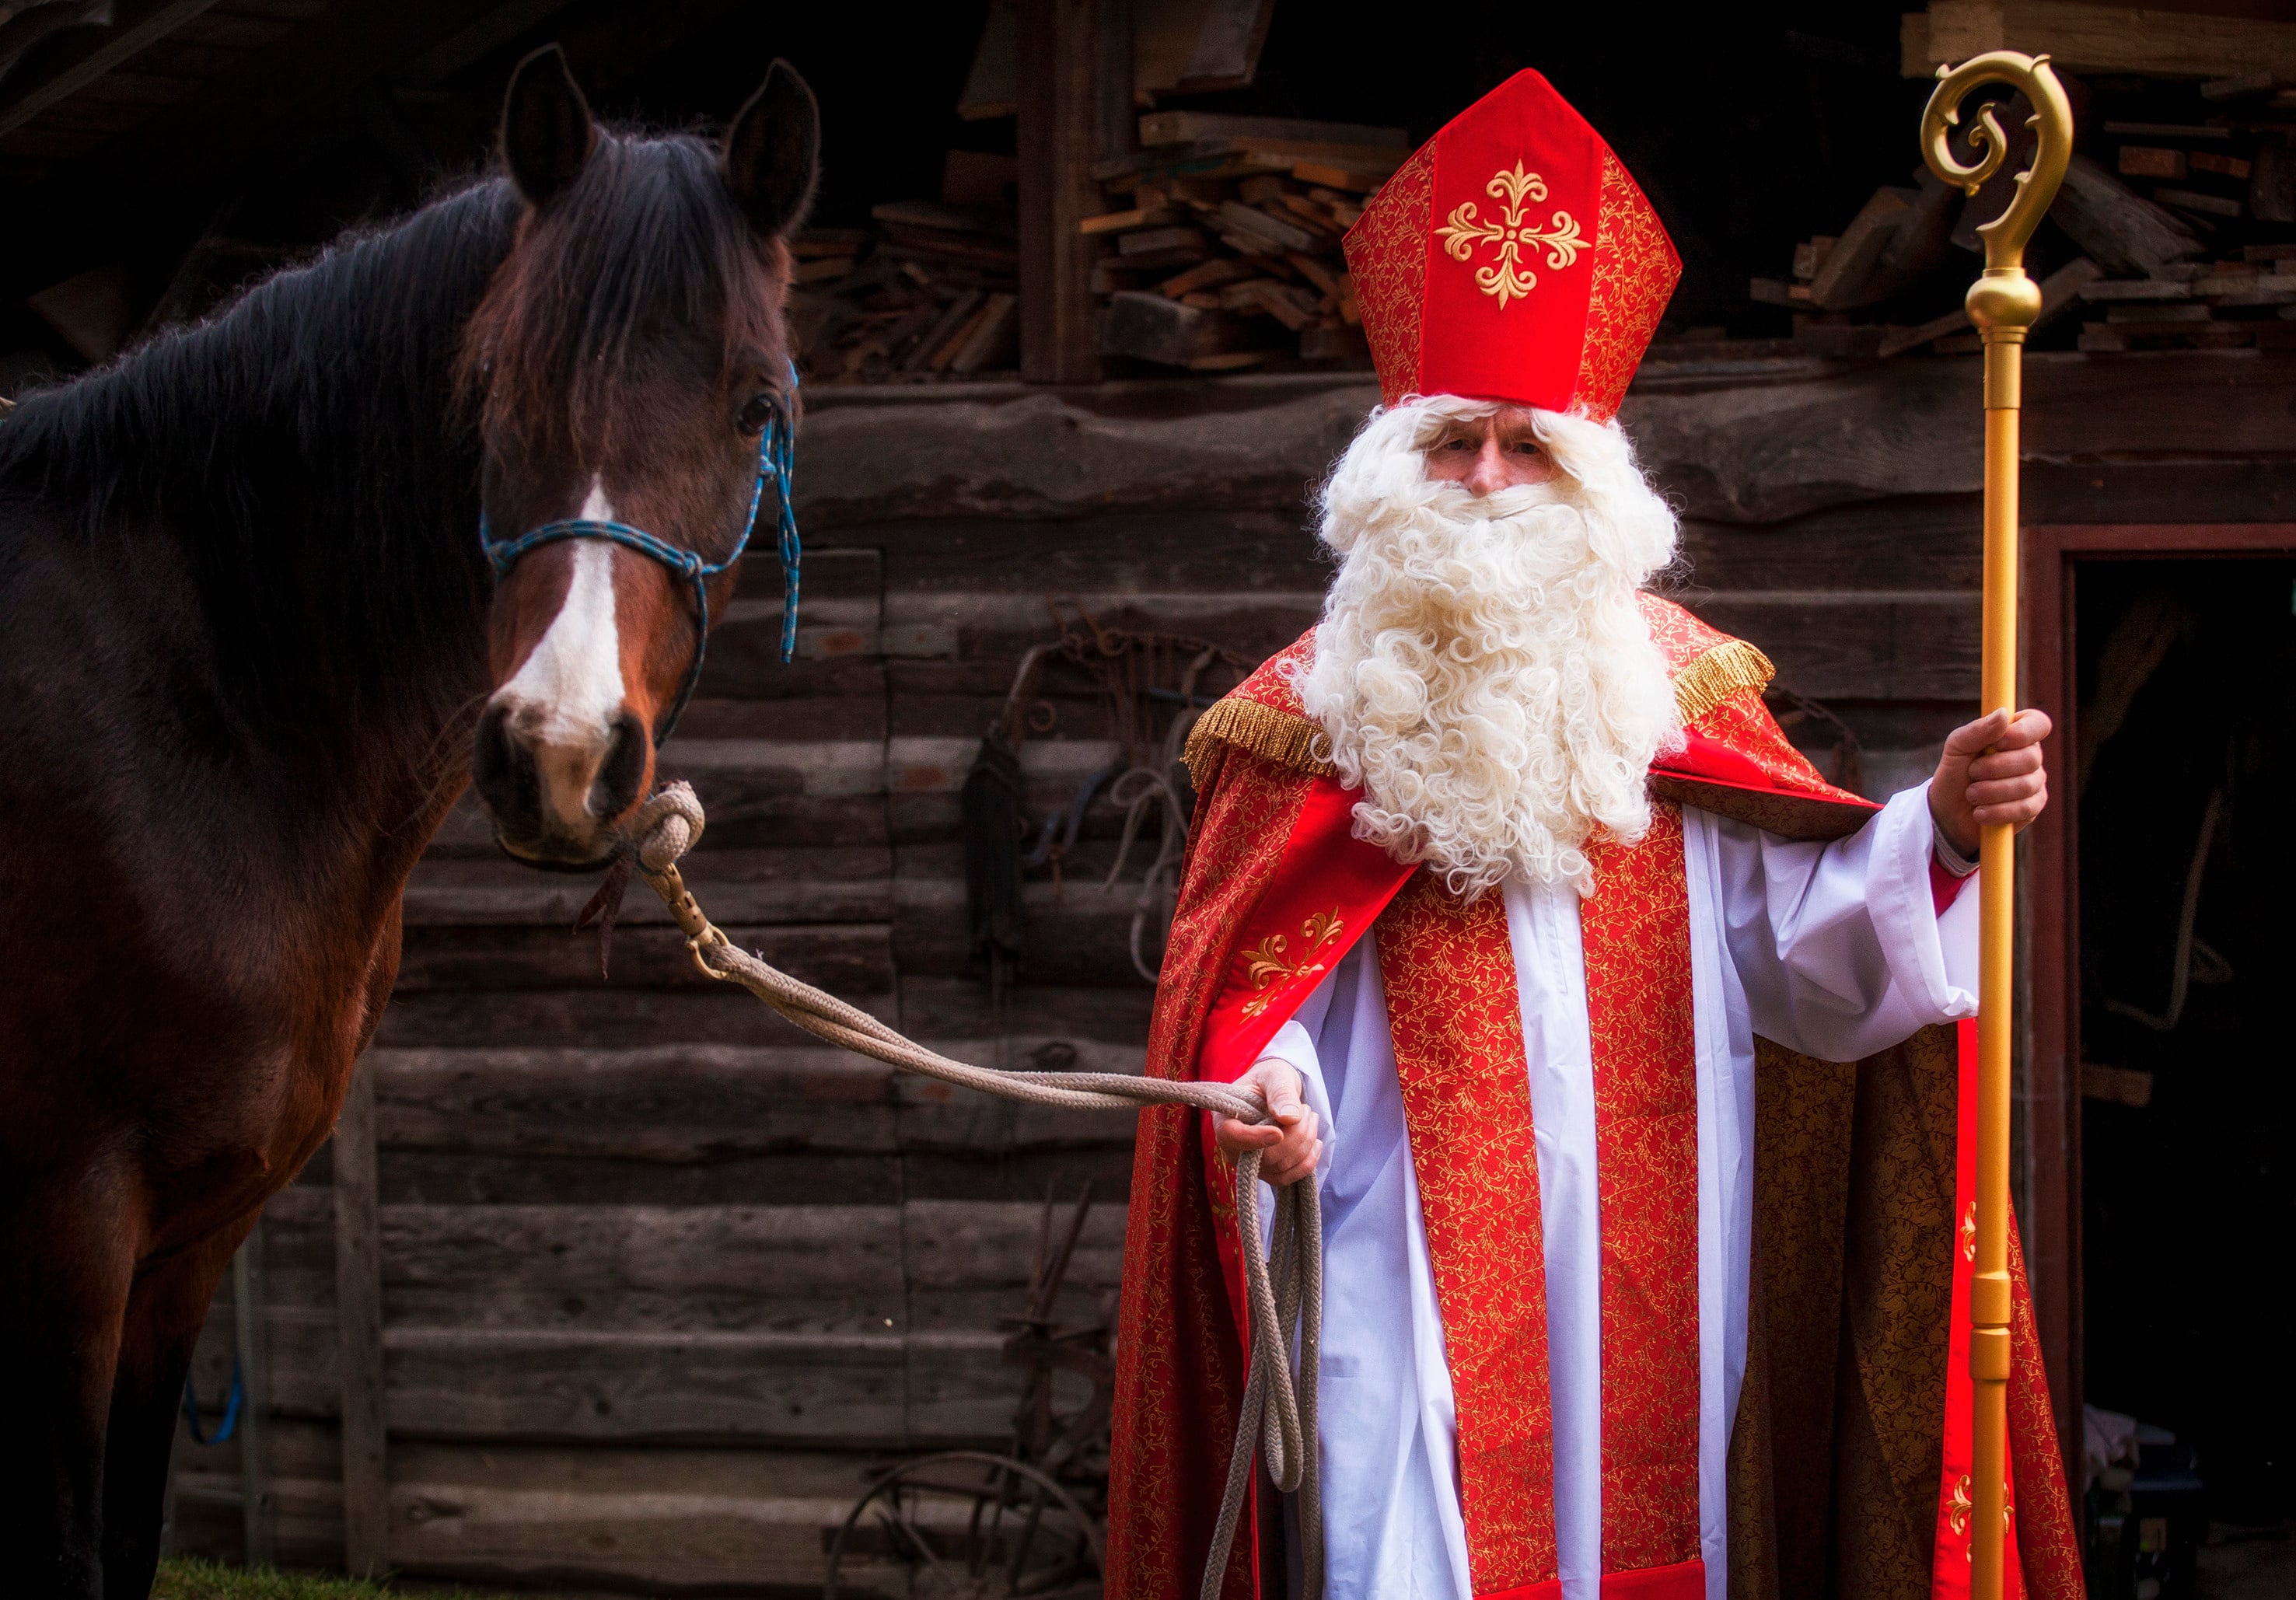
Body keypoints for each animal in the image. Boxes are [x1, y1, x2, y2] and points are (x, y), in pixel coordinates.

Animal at [0, 44, 822, 1588]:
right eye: (490, 388)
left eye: (756, 409)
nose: (560, 751)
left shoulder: (181, 1251)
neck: (184, 700)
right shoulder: (62, 1230)